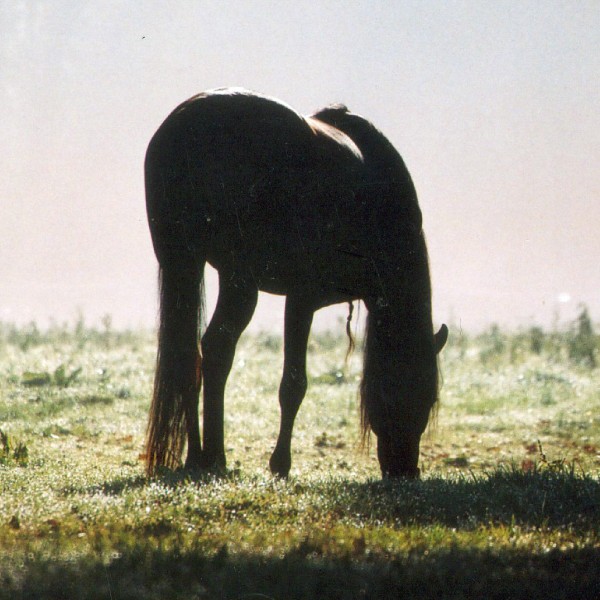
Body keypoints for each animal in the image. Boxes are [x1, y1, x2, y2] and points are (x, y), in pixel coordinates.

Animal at [144, 88, 446, 478]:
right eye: (409, 390)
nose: (405, 471)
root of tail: (187, 120)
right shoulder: (303, 299)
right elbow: (293, 383)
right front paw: (280, 464)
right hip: (239, 282)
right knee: (216, 350)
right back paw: (213, 456)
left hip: (187, 264)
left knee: (194, 356)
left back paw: (199, 457)